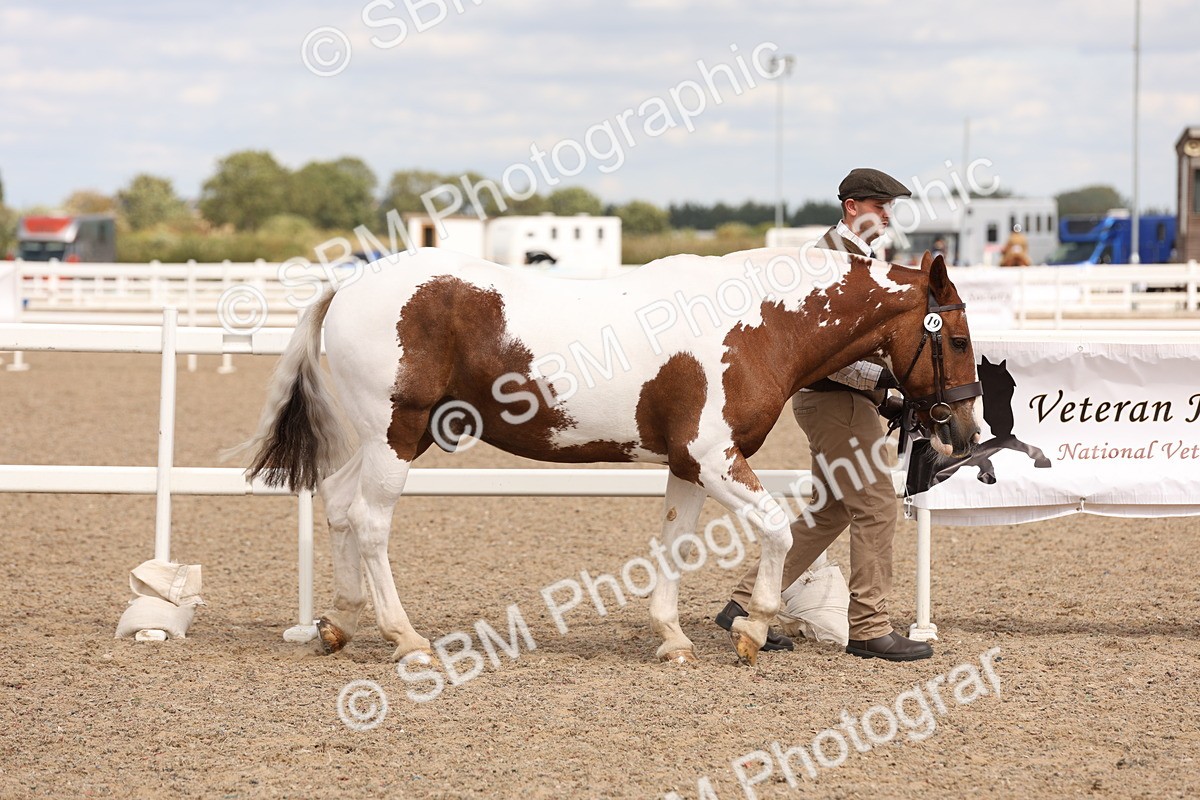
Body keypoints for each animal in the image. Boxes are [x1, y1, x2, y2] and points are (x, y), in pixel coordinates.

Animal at [235, 245, 981, 666]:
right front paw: (754, 629)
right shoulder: (715, 458)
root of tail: (348, 286)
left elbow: (676, 545)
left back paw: (341, 622)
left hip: (390, 438)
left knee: (337, 505)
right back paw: (406, 639)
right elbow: (774, 528)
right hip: (395, 435)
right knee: (369, 522)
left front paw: (673, 639)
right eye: (958, 337)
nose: (964, 429)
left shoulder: (687, 466)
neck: (760, 323)